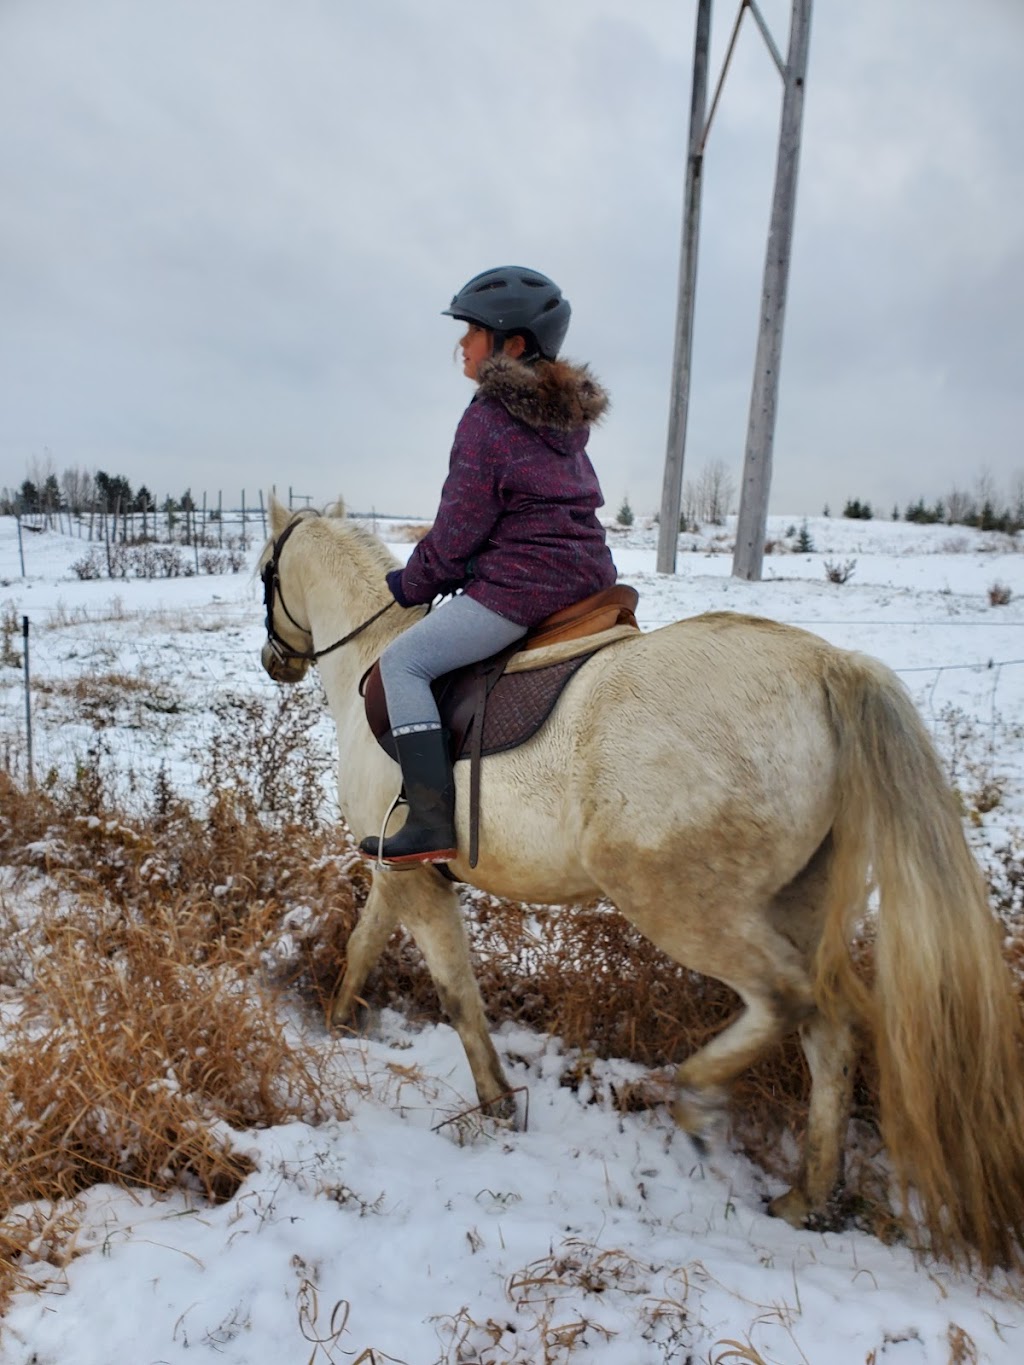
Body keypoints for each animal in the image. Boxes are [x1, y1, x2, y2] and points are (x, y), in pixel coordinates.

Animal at [260, 499, 1024, 1266]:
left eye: (266, 569)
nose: (275, 662)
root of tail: (826, 666)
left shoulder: (413, 879)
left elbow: (457, 995)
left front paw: (497, 1102)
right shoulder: (397, 874)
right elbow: (363, 945)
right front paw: (338, 1023)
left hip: (680, 903)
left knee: (786, 1000)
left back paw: (693, 1100)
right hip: (797, 905)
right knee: (828, 1031)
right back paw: (804, 1195)